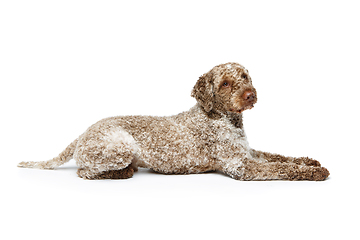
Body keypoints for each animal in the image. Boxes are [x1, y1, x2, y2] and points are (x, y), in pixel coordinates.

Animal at [18, 62, 330, 181]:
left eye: (244, 76)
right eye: (226, 83)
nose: (250, 94)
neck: (224, 119)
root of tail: (84, 132)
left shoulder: (248, 152)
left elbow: (281, 156)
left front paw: (310, 161)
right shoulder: (241, 166)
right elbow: (283, 167)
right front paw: (316, 172)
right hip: (121, 146)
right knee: (84, 172)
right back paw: (120, 173)